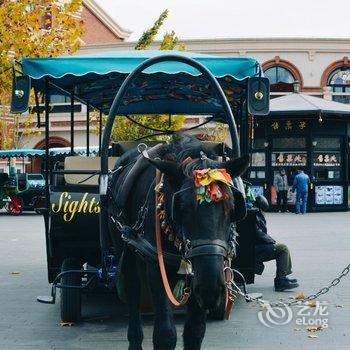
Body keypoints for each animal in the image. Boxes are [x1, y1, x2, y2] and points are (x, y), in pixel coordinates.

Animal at [109, 133, 249, 348]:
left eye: (232, 207)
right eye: (181, 208)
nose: (211, 288)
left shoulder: (199, 279)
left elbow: (195, 331)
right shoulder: (156, 267)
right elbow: (165, 334)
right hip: (124, 245)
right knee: (133, 287)